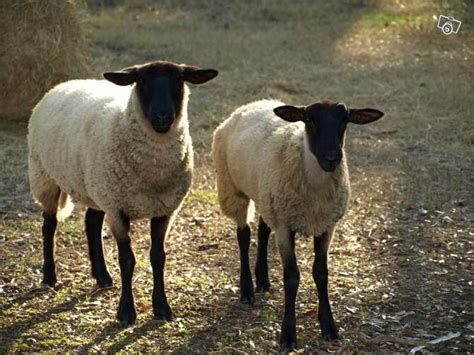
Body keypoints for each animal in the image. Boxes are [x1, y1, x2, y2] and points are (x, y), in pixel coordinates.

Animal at [30, 60, 219, 326]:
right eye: (142, 81)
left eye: (179, 80)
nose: (163, 116)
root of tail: (62, 84)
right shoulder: (118, 210)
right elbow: (127, 260)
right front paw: (127, 311)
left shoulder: (164, 210)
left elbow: (158, 256)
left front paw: (162, 307)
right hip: (45, 176)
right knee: (49, 226)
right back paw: (49, 276)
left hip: (97, 188)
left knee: (91, 222)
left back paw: (102, 276)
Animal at [213, 98, 384, 352]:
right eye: (309, 119)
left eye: (345, 119)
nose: (332, 157)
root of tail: (252, 104)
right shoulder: (285, 226)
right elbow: (291, 277)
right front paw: (288, 334)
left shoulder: (325, 225)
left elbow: (321, 273)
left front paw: (329, 326)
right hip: (233, 189)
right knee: (243, 236)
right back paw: (247, 290)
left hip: (267, 197)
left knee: (263, 231)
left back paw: (262, 280)